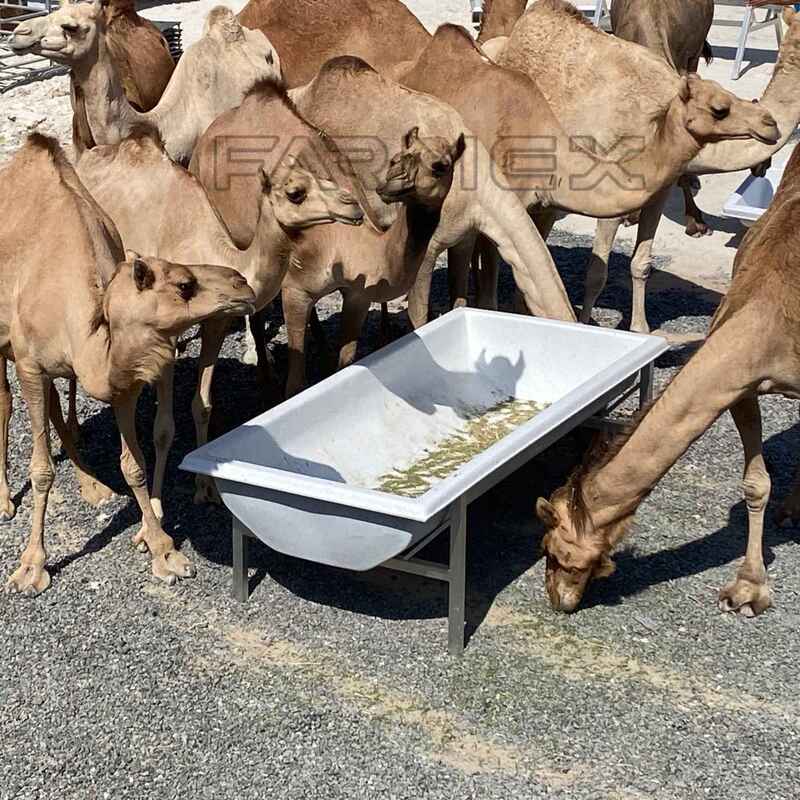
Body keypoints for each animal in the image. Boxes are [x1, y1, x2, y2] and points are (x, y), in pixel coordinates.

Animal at [0, 134, 255, 595]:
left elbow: (133, 466)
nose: (241, 282)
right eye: (185, 284)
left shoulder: (122, 383)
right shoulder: (30, 364)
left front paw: (164, 552)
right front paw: (31, 566)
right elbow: (42, 468)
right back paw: (5, 500)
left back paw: (92, 486)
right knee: (6, 401)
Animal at [76, 88, 368, 507]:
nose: (352, 205)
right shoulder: (165, 328)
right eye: (295, 193)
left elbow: (202, 405)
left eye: (322, 177)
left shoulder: (216, 320)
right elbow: (164, 427)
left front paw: (206, 489)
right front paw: (160, 504)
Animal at [536, 139, 800, 618]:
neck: (773, 313)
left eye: (555, 551)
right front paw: (748, 589)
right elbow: (755, 483)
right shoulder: (741, 384)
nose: (557, 599)